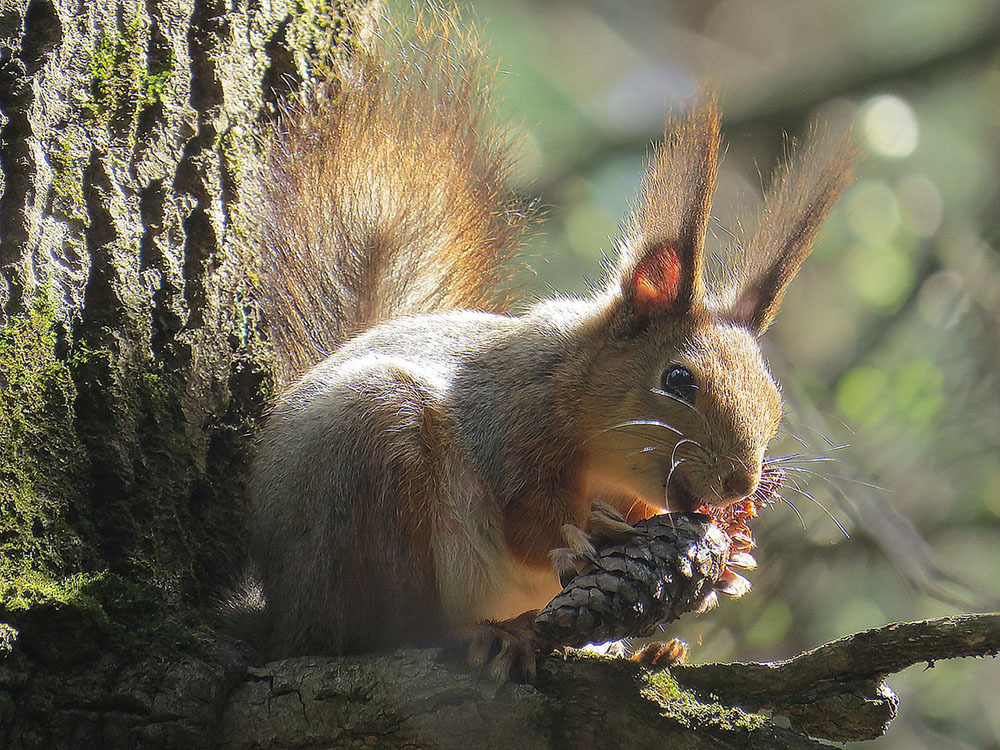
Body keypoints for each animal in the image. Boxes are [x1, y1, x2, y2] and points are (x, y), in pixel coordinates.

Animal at [240, 7, 852, 680]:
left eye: (774, 402)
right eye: (678, 379)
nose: (741, 485)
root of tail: (286, 612)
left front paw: (728, 560)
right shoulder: (511, 424)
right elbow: (526, 525)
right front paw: (591, 532)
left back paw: (632, 645)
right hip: (369, 467)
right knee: (388, 625)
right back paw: (479, 635)